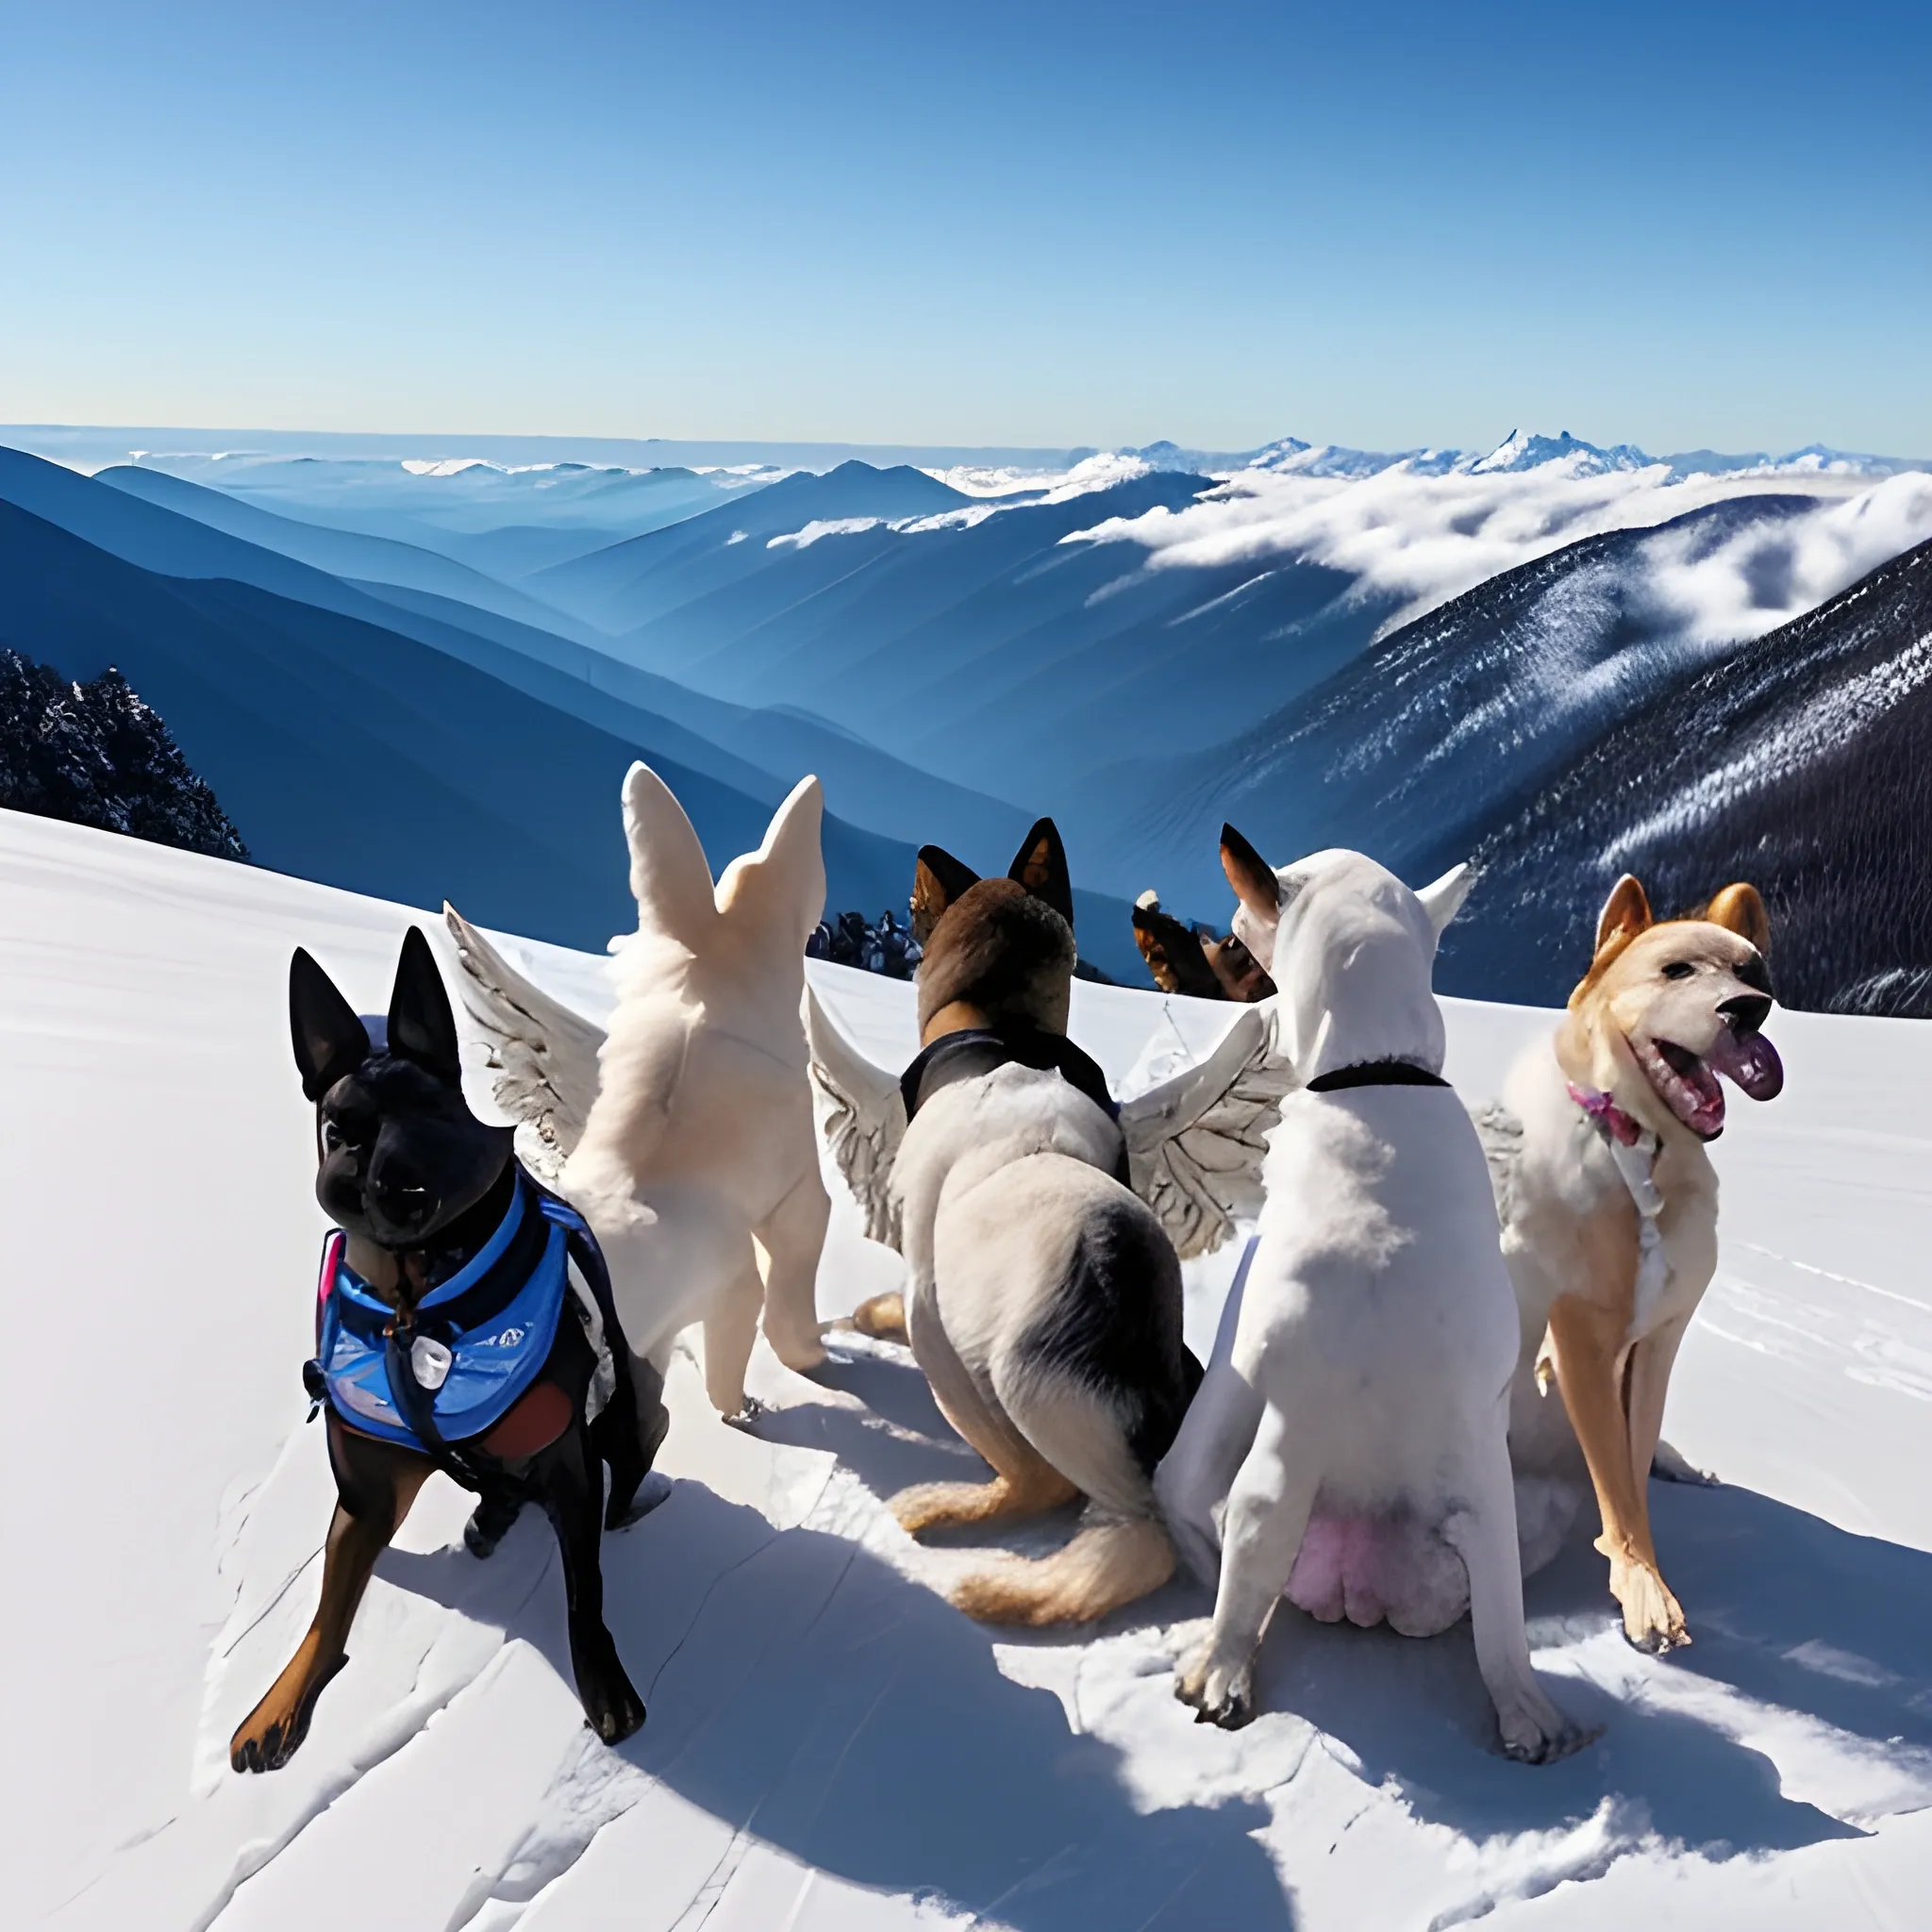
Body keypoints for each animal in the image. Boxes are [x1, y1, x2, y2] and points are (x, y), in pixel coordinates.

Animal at [228, 927, 657, 1769]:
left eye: (435, 1110)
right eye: (341, 1129)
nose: (400, 1186)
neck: (415, 1304)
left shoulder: (566, 1463)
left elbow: (583, 1589)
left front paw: (605, 1689)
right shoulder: (367, 1491)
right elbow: (328, 1610)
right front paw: (278, 1706)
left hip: (631, 1407)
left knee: (620, 1481)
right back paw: (491, 1516)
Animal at [1158, 823, 1584, 1761]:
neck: (1378, 1069)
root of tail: (1367, 1565)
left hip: (1261, 1483)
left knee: (1236, 1586)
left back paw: (1219, 1667)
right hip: (1498, 1519)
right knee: (1502, 1638)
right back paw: (1527, 1710)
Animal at [1483, 873, 1785, 1645]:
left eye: (1753, 972)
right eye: (1676, 970)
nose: (1749, 1008)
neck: (1640, 1155)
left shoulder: (1657, 1342)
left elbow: (1632, 1457)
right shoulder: (1580, 1341)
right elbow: (1614, 1480)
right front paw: (1642, 1588)